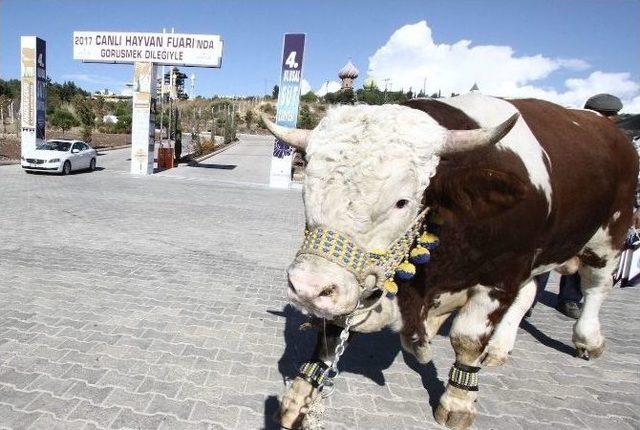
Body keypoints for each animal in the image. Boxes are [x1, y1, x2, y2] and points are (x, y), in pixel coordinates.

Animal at [262, 94, 636, 430]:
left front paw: (458, 401)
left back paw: (587, 340)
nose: (308, 288)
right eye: (306, 188)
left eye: (402, 202)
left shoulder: (499, 276)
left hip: (608, 236)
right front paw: (300, 398)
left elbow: (467, 340)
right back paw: (500, 348)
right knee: (528, 294)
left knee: (596, 288)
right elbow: (332, 334)